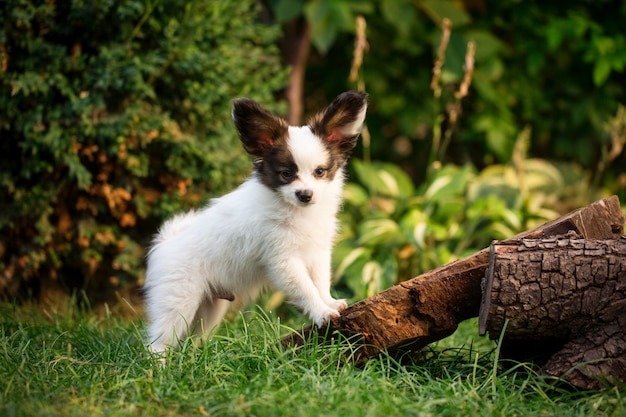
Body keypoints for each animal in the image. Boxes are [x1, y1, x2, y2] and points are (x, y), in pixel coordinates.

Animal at [143, 91, 366, 352]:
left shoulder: (317, 253)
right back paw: (157, 363)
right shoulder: (283, 261)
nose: (305, 195)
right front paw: (321, 312)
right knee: (159, 341)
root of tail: (166, 242)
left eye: (320, 172)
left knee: (192, 339)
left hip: (208, 309)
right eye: (286, 174)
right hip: (179, 299)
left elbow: (320, 282)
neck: (296, 211)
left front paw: (329, 302)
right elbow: (306, 288)